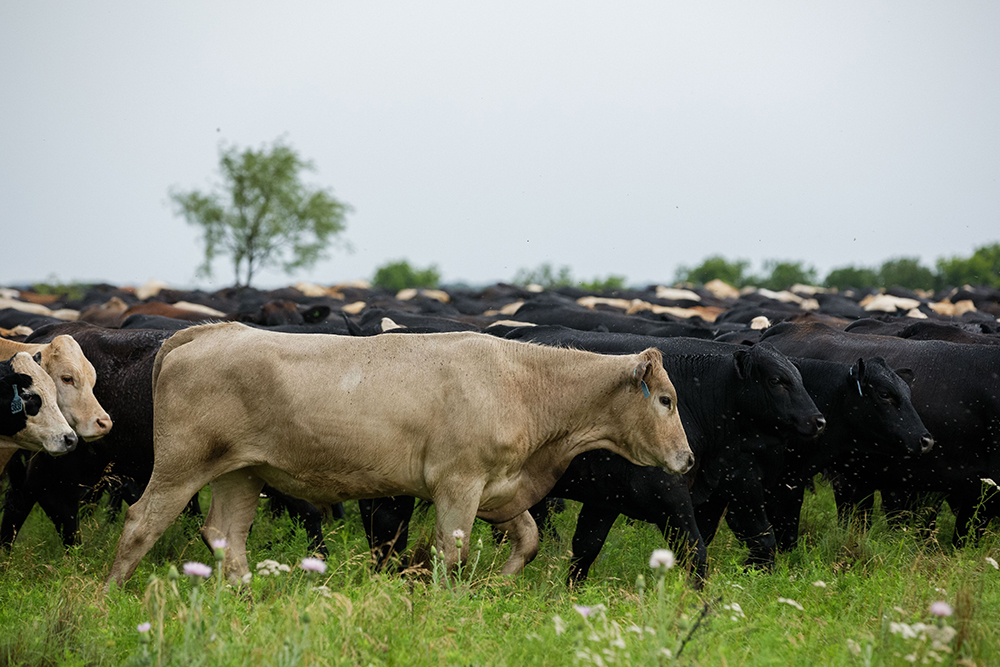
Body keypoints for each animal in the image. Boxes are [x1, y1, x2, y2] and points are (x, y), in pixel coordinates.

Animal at [105, 322, 693, 588]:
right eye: (666, 399)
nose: (687, 459)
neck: (520, 382)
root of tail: (212, 330)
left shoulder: (498, 488)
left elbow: (525, 539)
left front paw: (498, 584)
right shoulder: (459, 483)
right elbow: (450, 552)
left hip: (241, 472)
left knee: (227, 533)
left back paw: (246, 595)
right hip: (182, 464)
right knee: (141, 522)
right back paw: (109, 595)